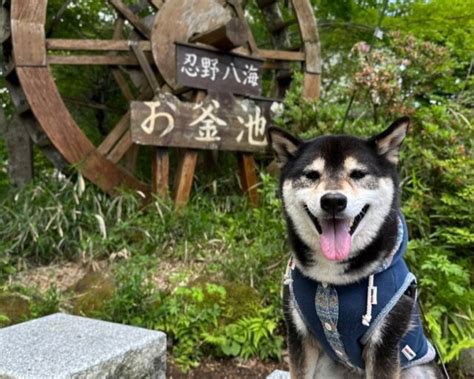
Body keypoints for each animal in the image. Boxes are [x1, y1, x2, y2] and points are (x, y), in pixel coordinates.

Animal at [268, 118, 442, 379]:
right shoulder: (298, 332)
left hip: (417, 369)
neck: (333, 279)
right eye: (311, 175)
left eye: (358, 174)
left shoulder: (384, 342)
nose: (333, 200)